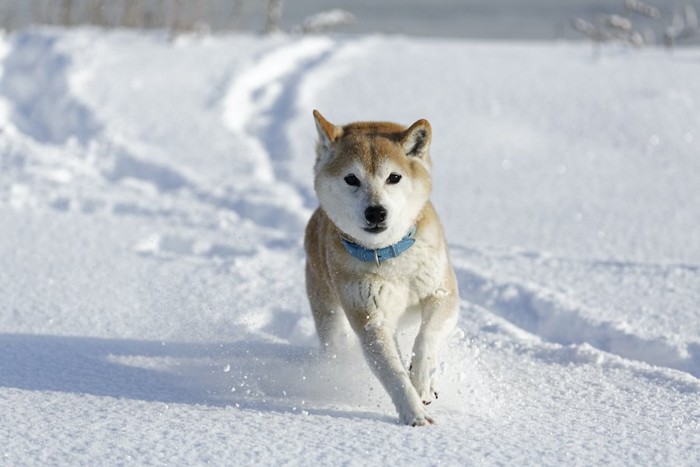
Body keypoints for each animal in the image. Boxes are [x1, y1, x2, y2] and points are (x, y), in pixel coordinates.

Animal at [304, 110, 460, 428]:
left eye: (394, 177)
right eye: (351, 179)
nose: (375, 212)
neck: (392, 257)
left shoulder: (443, 293)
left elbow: (427, 336)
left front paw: (422, 381)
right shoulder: (370, 319)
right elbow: (393, 372)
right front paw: (414, 413)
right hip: (329, 315)